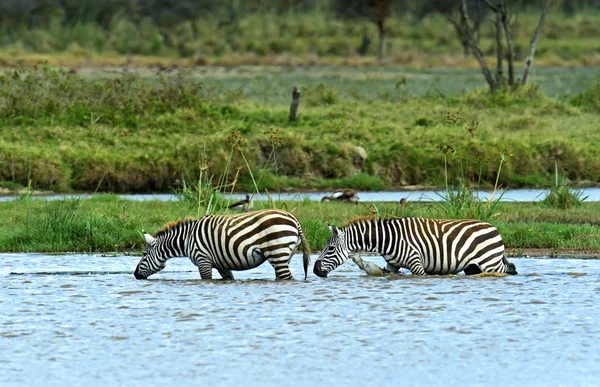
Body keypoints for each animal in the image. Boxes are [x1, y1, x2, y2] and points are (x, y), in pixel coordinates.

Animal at [134, 211, 312, 280]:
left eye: (144, 254)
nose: (135, 275)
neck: (187, 240)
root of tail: (294, 219)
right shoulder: (220, 263)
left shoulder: (203, 260)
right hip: (284, 255)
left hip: (277, 253)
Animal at [314, 218, 516, 278]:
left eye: (330, 249)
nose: (315, 270)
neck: (388, 240)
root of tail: (493, 227)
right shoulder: (392, 266)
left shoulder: (417, 265)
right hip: (472, 267)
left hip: (490, 263)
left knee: (509, 270)